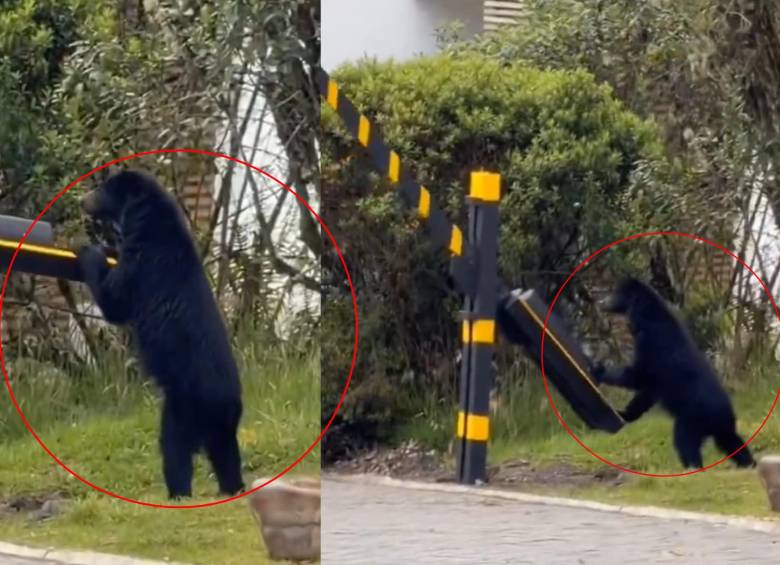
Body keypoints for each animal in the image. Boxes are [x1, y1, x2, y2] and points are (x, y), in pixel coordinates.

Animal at [77, 169, 245, 498]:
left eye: (101, 189)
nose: (82, 199)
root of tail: (226, 402)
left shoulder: (144, 262)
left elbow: (115, 300)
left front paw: (91, 251)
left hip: (182, 407)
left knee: (174, 449)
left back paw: (178, 492)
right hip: (221, 426)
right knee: (226, 456)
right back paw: (231, 489)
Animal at [592, 276, 754, 469]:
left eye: (614, 293)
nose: (601, 302)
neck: (645, 317)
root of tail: (723, 414)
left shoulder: (652, 345)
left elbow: (638, 375)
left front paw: (599, 370)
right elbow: (646, 394)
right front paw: (625, 414)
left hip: (691, 419)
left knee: (685, 442)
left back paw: (692, 467)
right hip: (722, 427)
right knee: (733, 443)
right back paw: (749, 464)